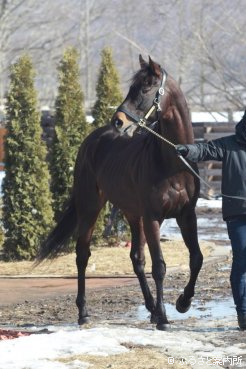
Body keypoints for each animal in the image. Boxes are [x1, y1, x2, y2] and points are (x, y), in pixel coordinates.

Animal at [38, 56, 203, 330]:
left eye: (146, 87)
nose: (119, 121)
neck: (173, 163)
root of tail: (92, 140)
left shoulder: (186, 216)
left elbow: (196, 259)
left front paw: (183, 303)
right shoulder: (153, 218)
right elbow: (159, 267)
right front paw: (165, 319)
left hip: (133, 215)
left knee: (136, 258)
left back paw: (151, 309)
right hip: (90, 209)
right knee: (82, 255)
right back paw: (84, 313)